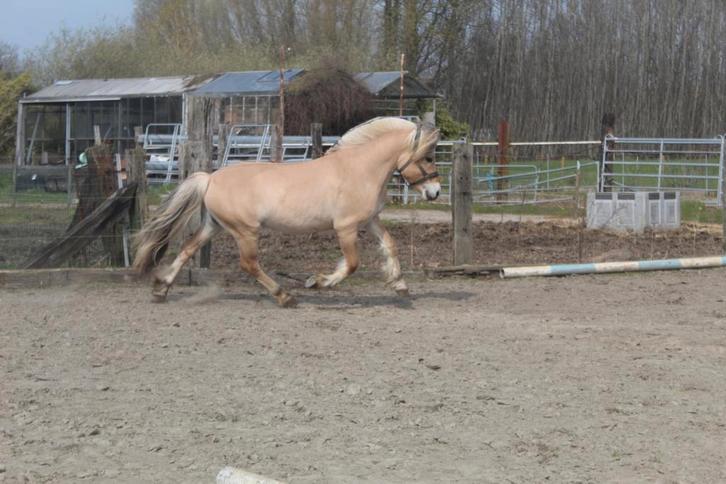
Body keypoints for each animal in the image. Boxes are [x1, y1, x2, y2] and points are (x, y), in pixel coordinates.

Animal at [132, 117, 441, 307]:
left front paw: (400, 285)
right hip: (245, 231)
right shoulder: (346, 227)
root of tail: (210, 178)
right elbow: (352, 264)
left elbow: (390, 245)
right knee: (249, 264)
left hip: (214, 225)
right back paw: (285, 296)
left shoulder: (369, 221)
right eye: (428, 157)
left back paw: (161, 289)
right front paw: (318, 282)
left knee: (186, 250)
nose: (435, 192)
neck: (360, 169)